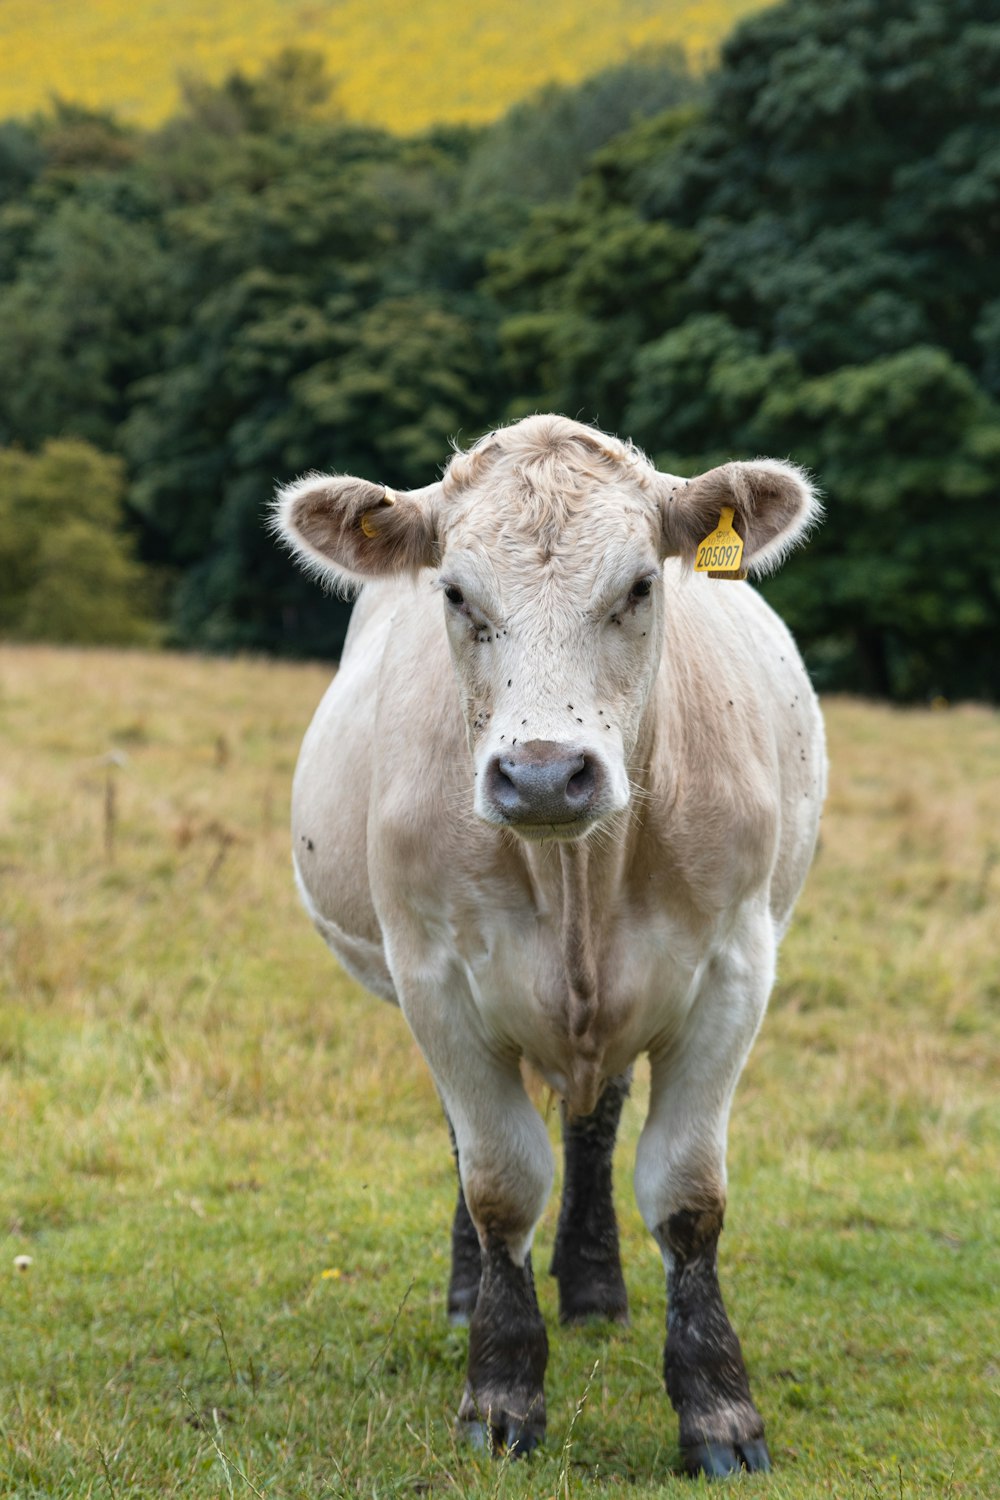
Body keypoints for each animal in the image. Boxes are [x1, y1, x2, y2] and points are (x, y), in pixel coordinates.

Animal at [275, 417, 827, 1482]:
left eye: (641, 587)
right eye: (456, 593)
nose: (541, 775)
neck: (579, 876)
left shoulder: (734, 970)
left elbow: (688, 1193)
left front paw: (719, 1409)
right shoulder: (436, 980)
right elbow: (499, 1185)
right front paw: (501, 1391)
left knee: (595, 1122)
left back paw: (596, 1290)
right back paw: (470, 1296)